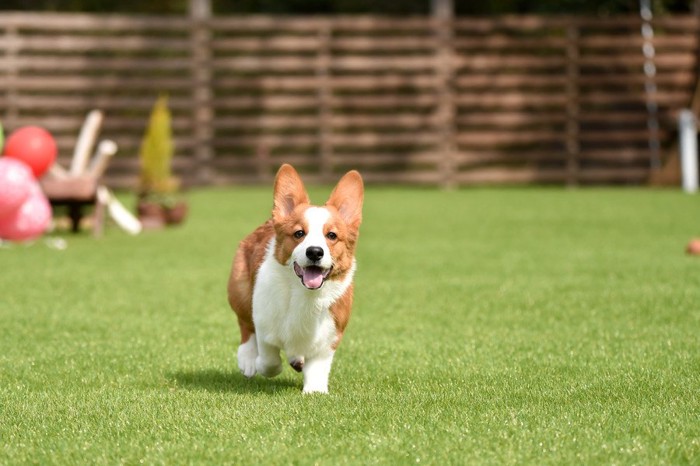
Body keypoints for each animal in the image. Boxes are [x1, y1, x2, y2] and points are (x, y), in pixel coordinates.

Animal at [227, 164, 364, 394]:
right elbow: (269, 360)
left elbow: (317, 366)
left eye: (332, 235)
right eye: (299, 233)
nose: (315, 252)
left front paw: (315, 391)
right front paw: (258, 363)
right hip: (240, 291)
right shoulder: (264, 324)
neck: (305, 295)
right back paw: (248, 359)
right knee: (245, 325)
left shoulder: (329, 336)